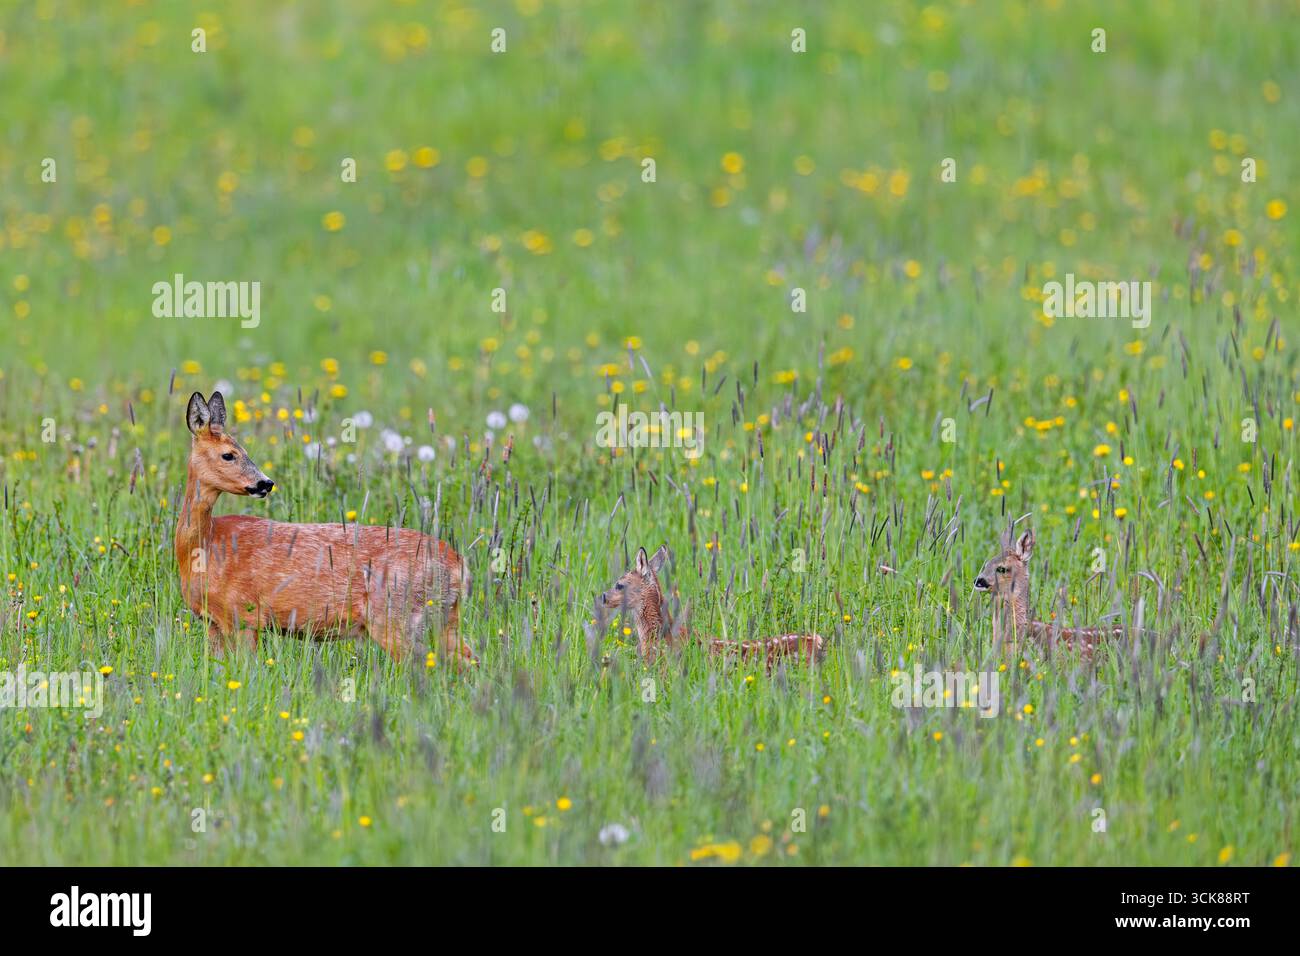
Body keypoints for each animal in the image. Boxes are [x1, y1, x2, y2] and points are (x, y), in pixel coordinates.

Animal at [175, 391, 477, 666]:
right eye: (228, 455)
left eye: (244, 452)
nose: (265, 483)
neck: (204, 545)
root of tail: (459, 565)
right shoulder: (214, 622)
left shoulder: (245, 616)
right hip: (445, 617)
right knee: (467, 660)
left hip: (396, 614)